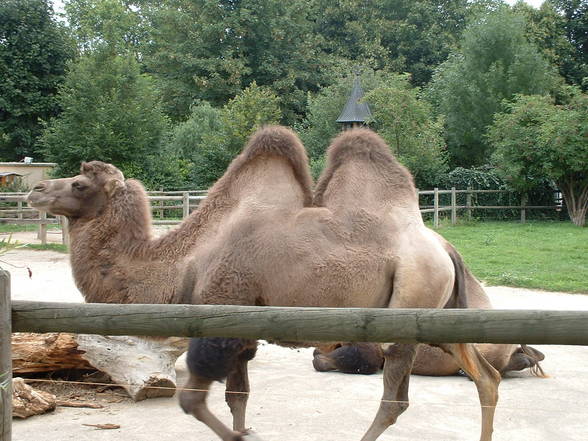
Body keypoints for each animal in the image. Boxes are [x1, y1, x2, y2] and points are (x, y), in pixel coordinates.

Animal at [32, 125, 520, 440]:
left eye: (79, 184)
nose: (36, 190)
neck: (184, 262)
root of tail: (446, 248)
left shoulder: (221, 313)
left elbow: (194, 401)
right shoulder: (243, 330)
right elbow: (238, 398)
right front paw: (244, 427)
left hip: (410, 303)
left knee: (395, 400)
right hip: (442, 318)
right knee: (487, 377)